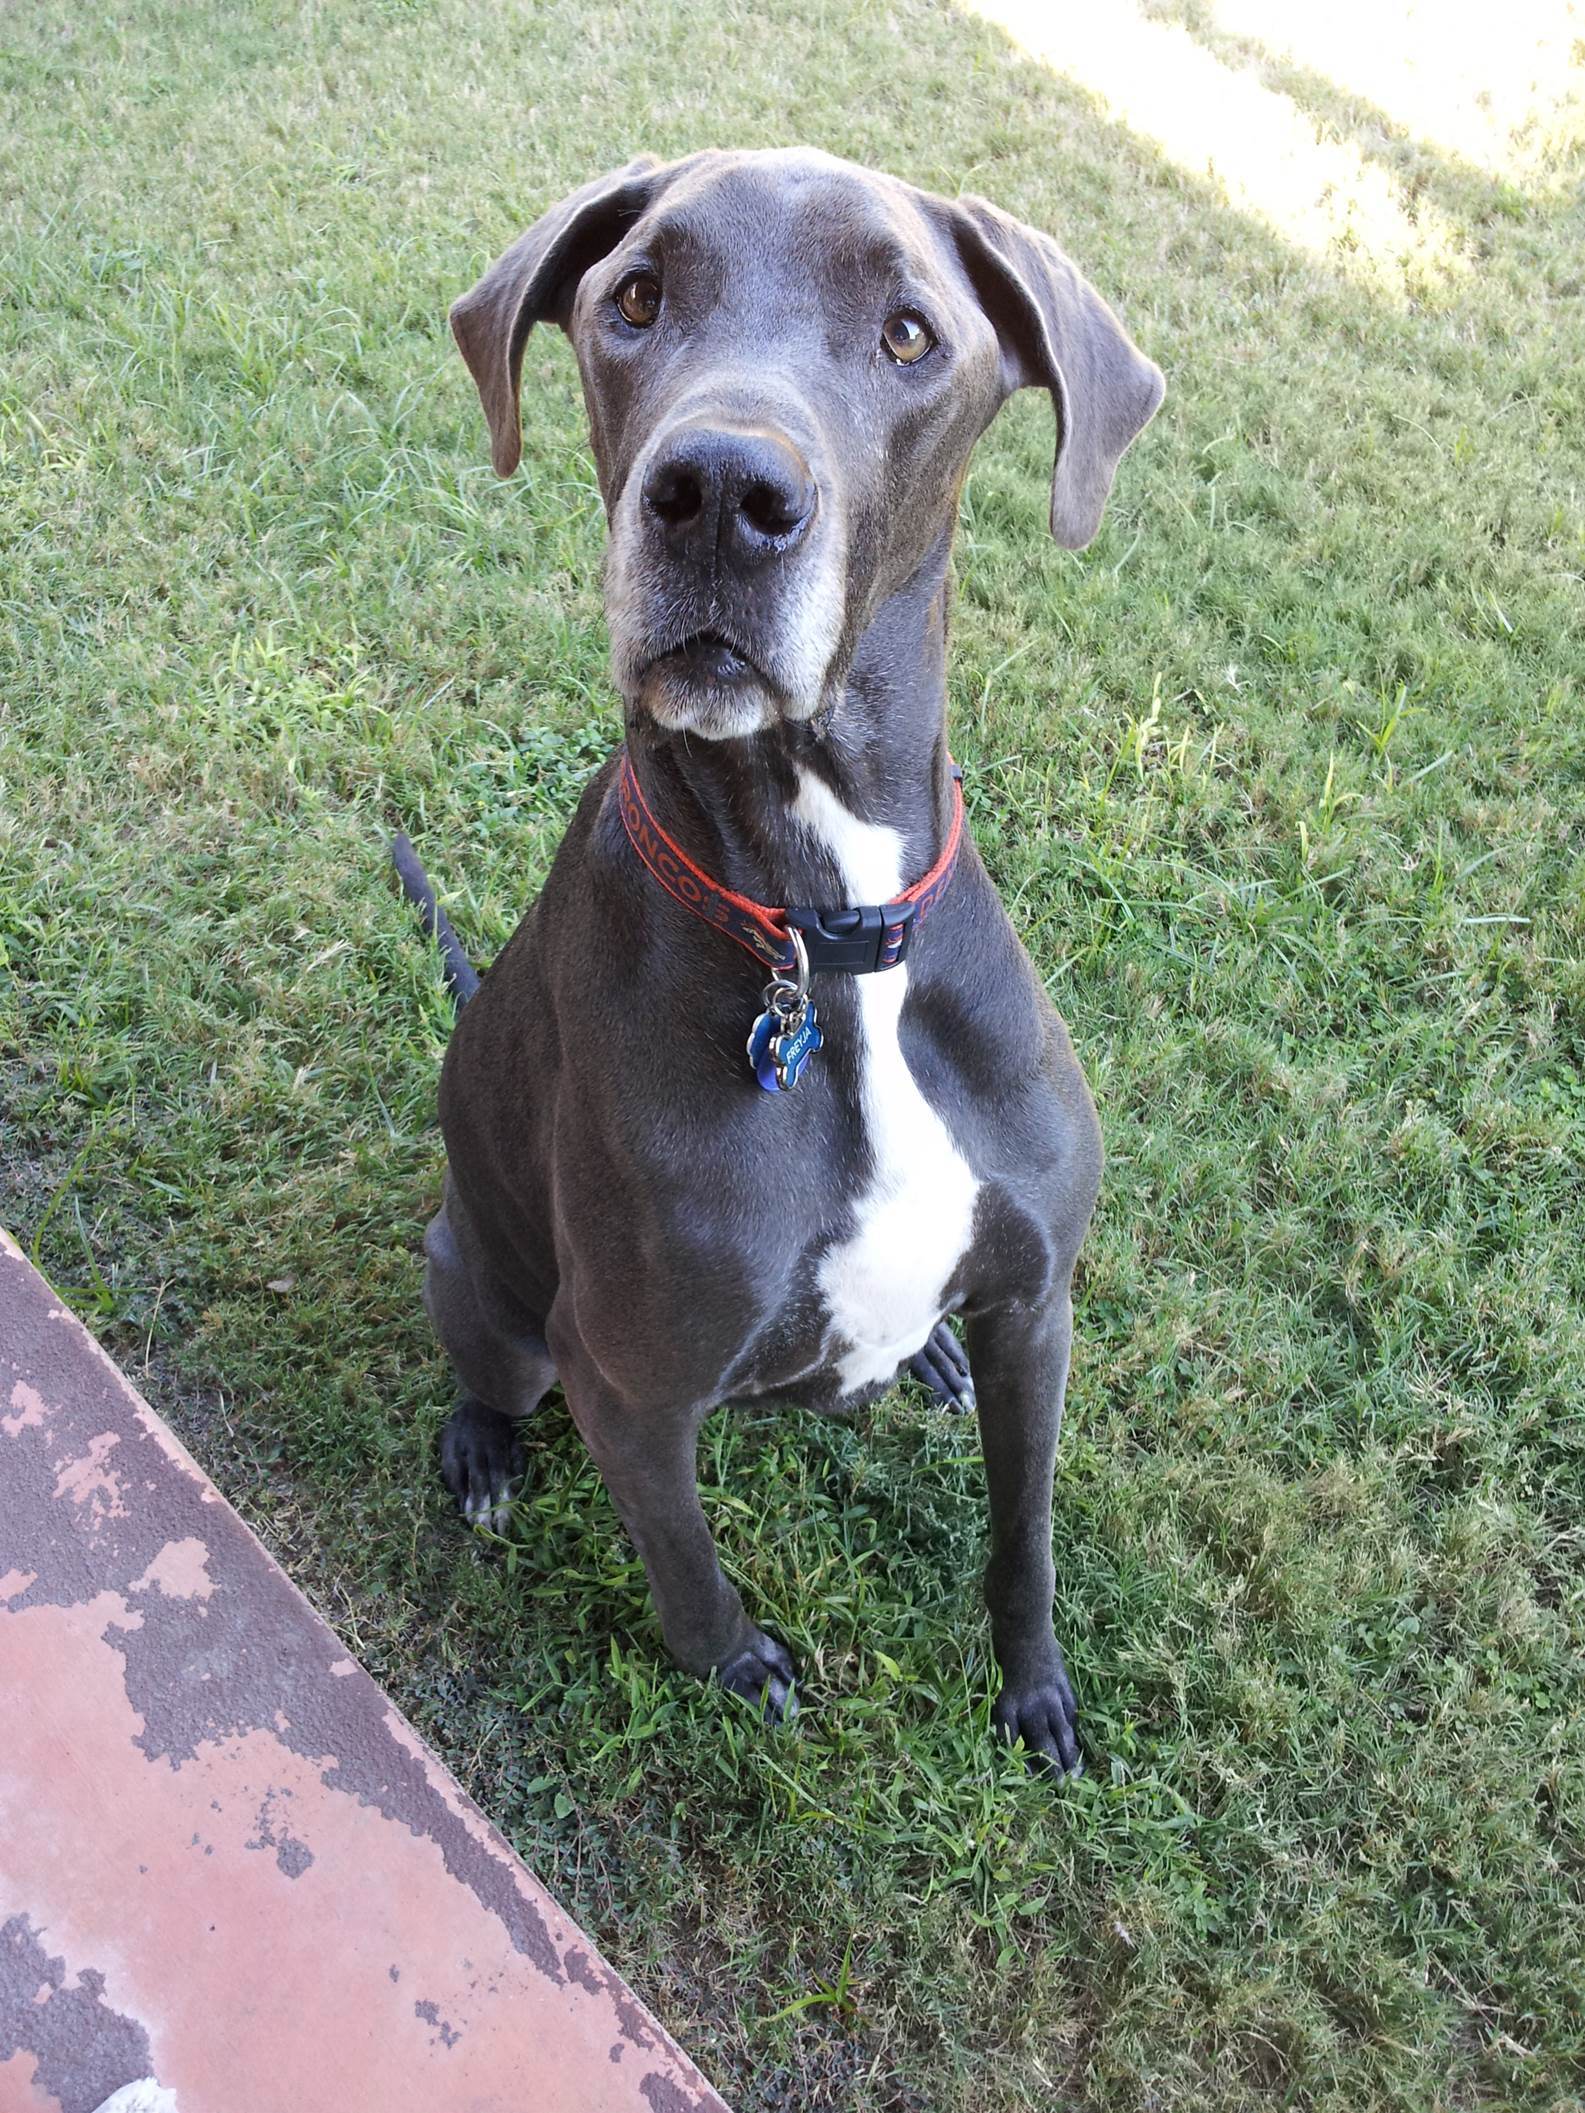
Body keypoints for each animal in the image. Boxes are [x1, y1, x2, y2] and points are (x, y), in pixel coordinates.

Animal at [411, 148, 1162, 1773]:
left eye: (909, 332)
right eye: (634, 298)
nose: (719, 495)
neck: (827, 941)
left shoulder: (1041, 1311)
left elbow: (1025, 1541)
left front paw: (1037, 1693)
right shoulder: (628, 1384)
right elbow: (685, 1564)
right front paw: (736, 1669)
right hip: (486, 1290)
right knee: (488, 1369)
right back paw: (479, 1455)